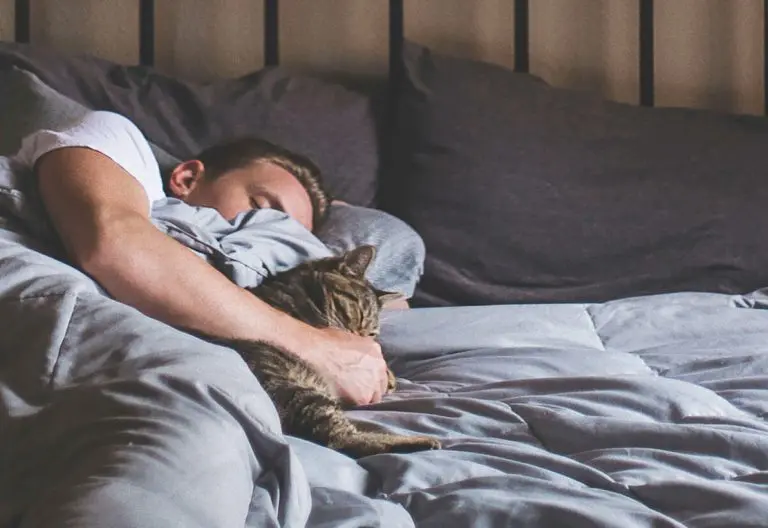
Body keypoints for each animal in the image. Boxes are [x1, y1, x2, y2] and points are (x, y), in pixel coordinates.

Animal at [196, 245, 438, 460]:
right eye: (358, 313)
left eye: (371, 333)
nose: (361, 341)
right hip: (296, 389)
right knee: (341, 441)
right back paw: (421, 442)